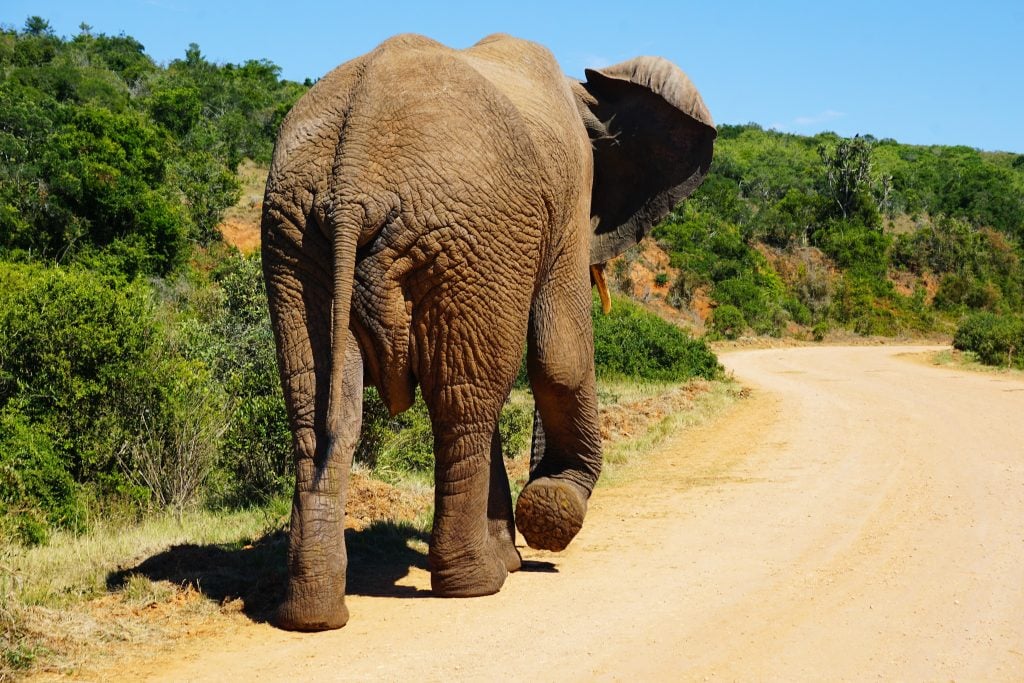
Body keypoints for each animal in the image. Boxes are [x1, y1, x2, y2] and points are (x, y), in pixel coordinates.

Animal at [261, 32, 715, 631]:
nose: (545, 484)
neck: (587, 96)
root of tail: (353, 170)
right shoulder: (567, 201)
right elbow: (561, 353)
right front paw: (549, 514)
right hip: (466, 236)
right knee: (464, 401)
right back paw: (476, 583)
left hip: (297, 236)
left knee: (321, 409)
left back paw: (311, 616)